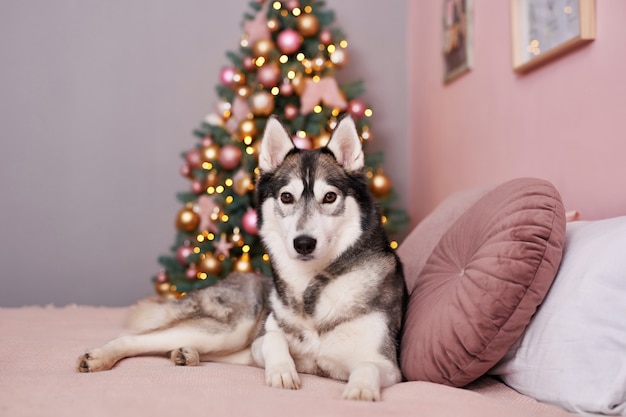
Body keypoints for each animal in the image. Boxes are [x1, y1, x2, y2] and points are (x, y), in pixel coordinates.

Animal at [77, 115, 404, 402]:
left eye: (330, 197)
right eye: (286, 197)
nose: (303, 244)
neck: (311, 289)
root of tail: (234, 276)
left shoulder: (388, 364)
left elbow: (368, 366)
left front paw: (360, 391)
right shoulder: (259, 341)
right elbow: (273, 338)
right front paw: (282, 371)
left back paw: (185, 353)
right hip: (232, 328)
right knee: (136, 338)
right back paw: (101, 356)